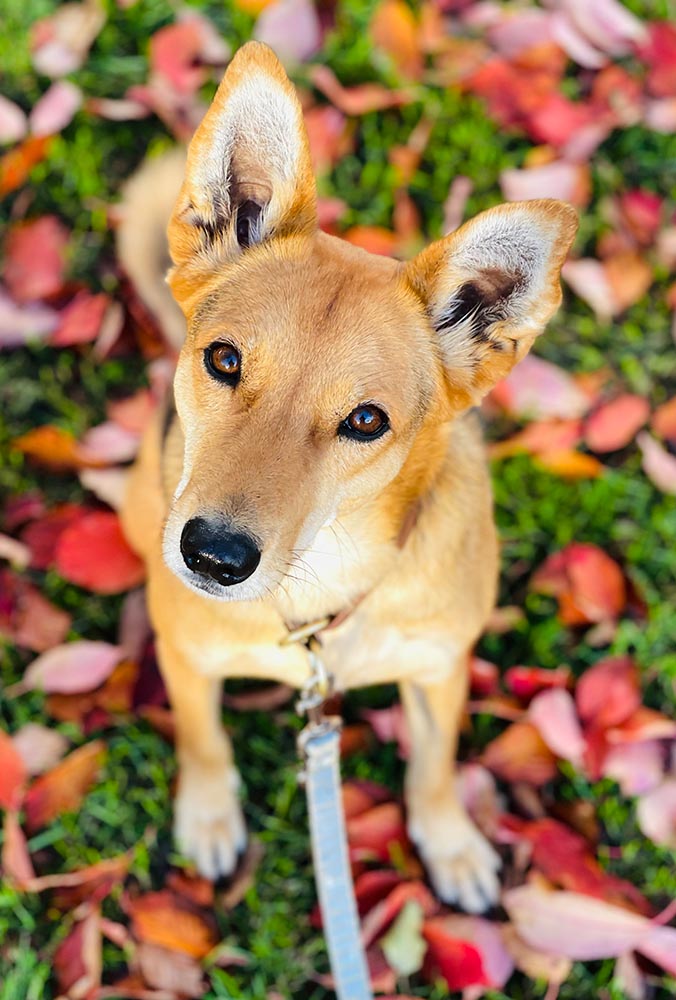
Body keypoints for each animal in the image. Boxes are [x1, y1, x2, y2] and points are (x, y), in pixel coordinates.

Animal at [120, 41, 576, 916]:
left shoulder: (439, 670)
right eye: (223, 359)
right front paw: (209, 812)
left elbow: (433, 769)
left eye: (365, 421)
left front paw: (449, 843)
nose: (213, 558)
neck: (320, 591)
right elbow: (203, 738)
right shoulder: (188, 658)